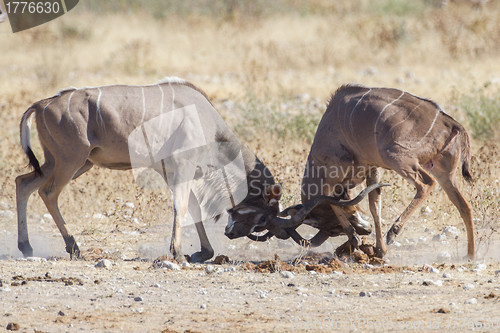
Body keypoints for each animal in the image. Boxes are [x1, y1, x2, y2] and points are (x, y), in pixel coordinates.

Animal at [15, 78, 282, 262]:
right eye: (263, 216)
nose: (232, 234)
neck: (211, 127)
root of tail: (43, 104)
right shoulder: (183, 167)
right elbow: (181, 207)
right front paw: (179, 253)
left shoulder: (170, 171)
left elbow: (193, 207)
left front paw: (203, 252)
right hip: (70, 160)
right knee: (48, 193)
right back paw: (74, 247)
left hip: (66, 163)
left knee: (23, 183)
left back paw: (26, 246)